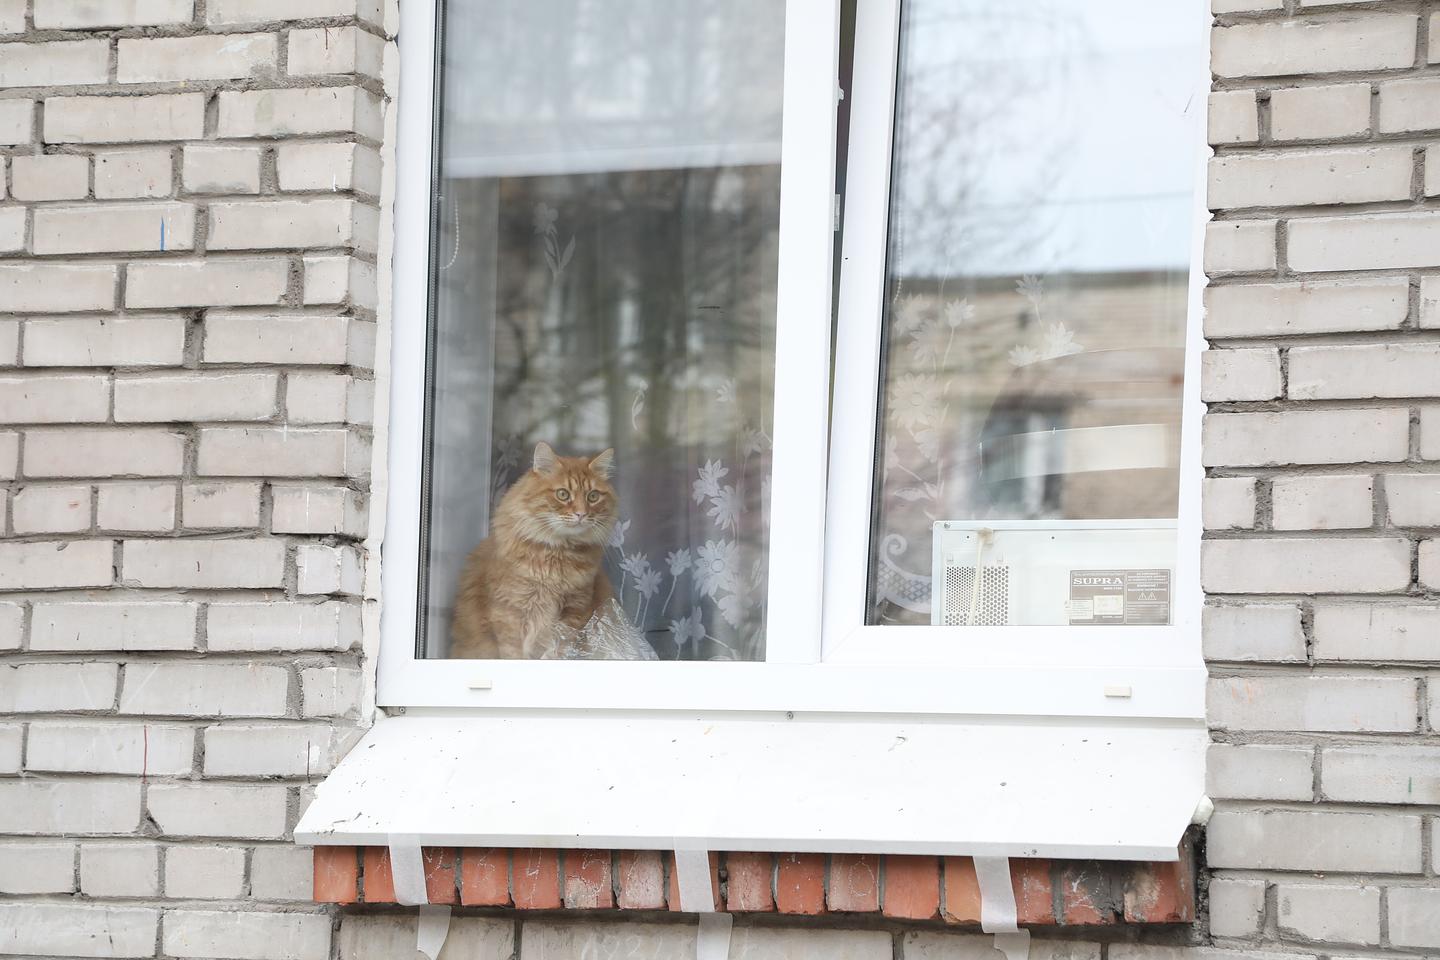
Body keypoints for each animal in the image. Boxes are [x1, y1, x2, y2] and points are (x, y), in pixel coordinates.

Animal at [443, 446, 613, 662]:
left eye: (593, 496)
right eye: (563, 494)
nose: (581, 514)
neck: (558, 555)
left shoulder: (574, 610)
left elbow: (560, 649)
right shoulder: (511, 611)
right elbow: (514, 653)